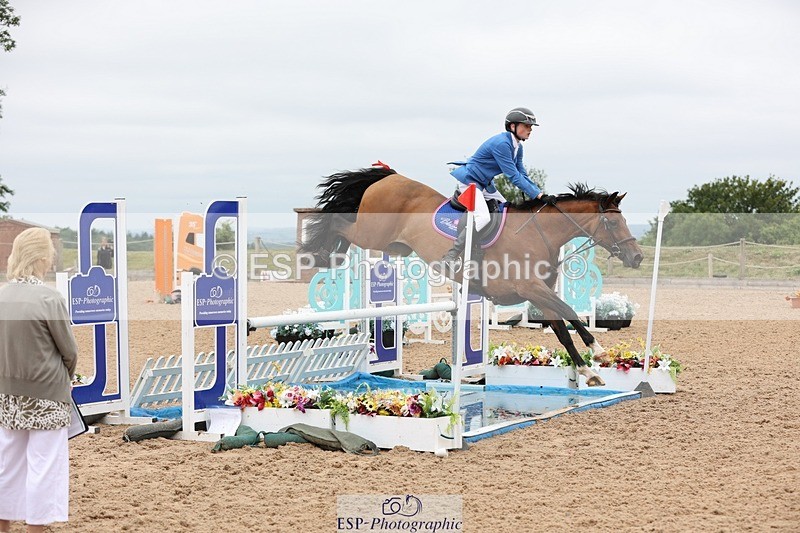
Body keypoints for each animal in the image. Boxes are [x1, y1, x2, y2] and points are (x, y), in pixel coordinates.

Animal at [299, 165, 644, 386]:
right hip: (373, 233)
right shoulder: (531, 289)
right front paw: (599, 351)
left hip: (394, 246)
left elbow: (563, 329)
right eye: (614, 223)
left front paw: (589, 372)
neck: (539, 233)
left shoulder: (541, 295)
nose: (637, 257)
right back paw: (323, 251)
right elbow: (571, 312)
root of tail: (389, 178)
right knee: (339, 222)